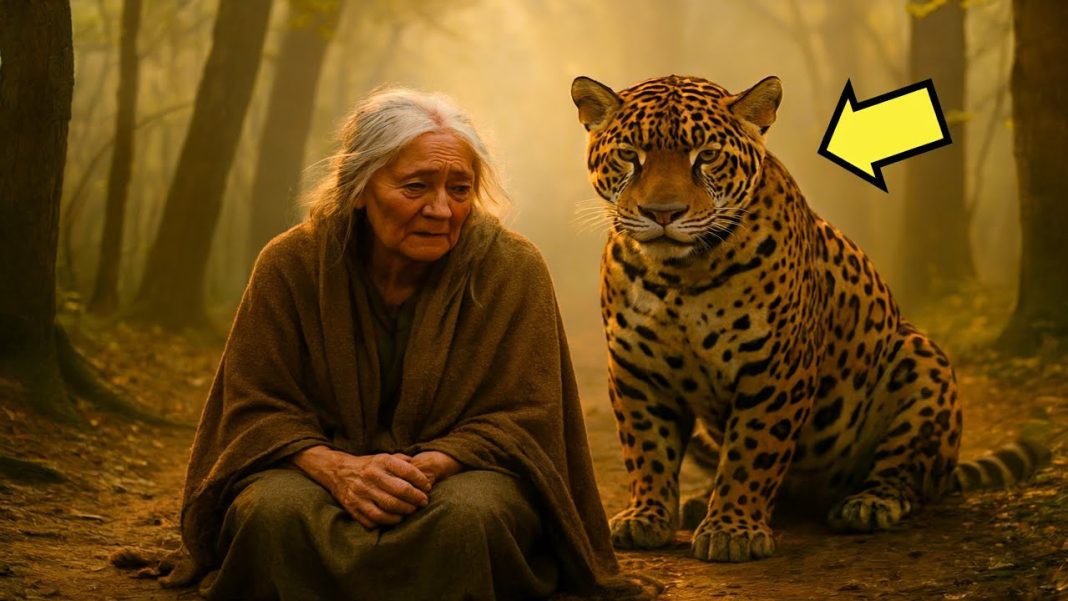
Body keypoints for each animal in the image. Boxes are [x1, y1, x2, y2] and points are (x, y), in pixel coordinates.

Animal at [569, 74, 1049, 563]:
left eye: (706, 156)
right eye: (630, 154)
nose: (662, 213)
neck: (679, 274)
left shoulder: (776, 366)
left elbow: (751, 452)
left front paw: (733, 529)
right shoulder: (635, 369)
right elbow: (647, 450)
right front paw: (646, 517)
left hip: (921, 358)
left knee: (906, 474)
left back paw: (867, 503)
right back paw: (699, 504)